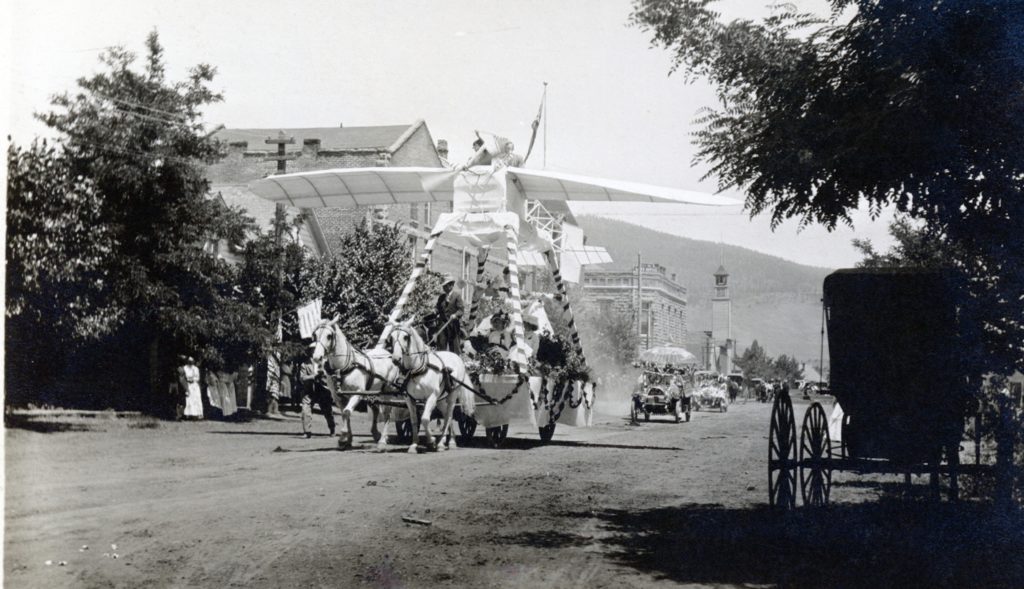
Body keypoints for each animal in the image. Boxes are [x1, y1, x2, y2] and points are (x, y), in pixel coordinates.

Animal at [311, 317, 403, 450]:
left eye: (329, 336)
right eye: (314, 335)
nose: (316, 357)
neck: (343, 368)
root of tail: (389, 354)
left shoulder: (357, 393)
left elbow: (346, 413)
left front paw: (343, 437)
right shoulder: (338, 397)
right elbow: (345, 414)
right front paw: (347, 440)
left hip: (388, 390)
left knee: (387, 414)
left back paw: (382, 440)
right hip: (372, 392)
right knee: (375, 410)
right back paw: (375, 433)